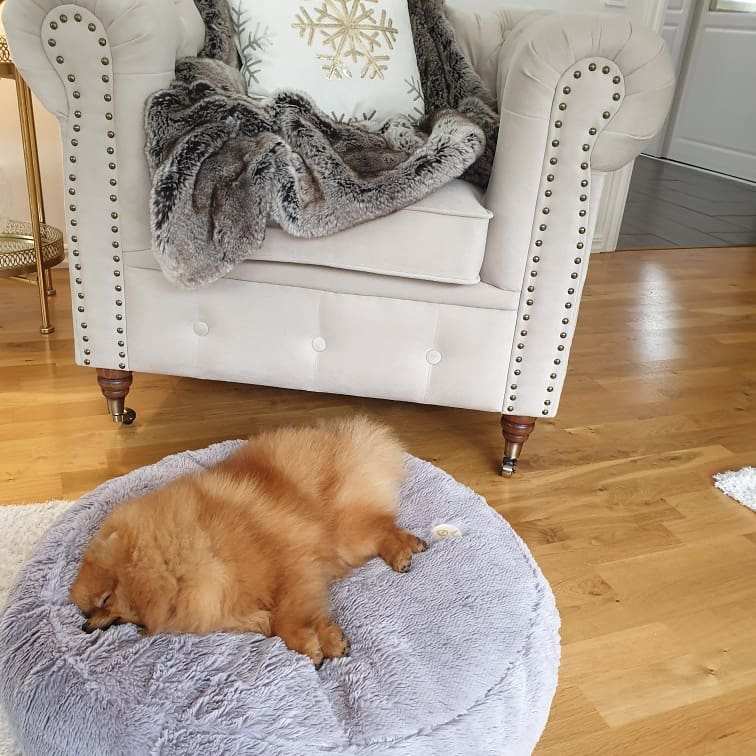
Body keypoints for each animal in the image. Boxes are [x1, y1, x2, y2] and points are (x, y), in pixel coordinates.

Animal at [69, 417, 427, 666]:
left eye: (105, 600)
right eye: (88, 610)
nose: (85, 626)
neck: (181, 556)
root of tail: (347, 440)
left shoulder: (292, 564)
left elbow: (288, 615)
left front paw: (308, 644)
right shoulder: (231, 605)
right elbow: (280, 620)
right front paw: (327, 640)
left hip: (347, 533)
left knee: (383, 527)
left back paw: (402, 552)